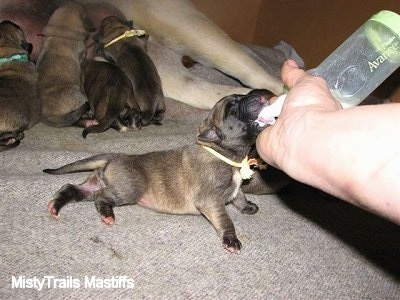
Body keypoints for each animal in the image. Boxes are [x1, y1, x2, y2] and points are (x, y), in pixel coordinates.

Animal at [43, 89, 288, 253]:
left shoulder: (235, 188)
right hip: (129, 188)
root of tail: (114, 156)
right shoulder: (210, 200)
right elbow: (225, 218)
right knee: (101, 197)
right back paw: (107, 214)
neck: (224, 153)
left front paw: (246, 207)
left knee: (72, 188)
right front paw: (231, 239)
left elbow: (239, 195)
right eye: (233, 108)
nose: (260, 95)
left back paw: (56, 206)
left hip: (99, 181)